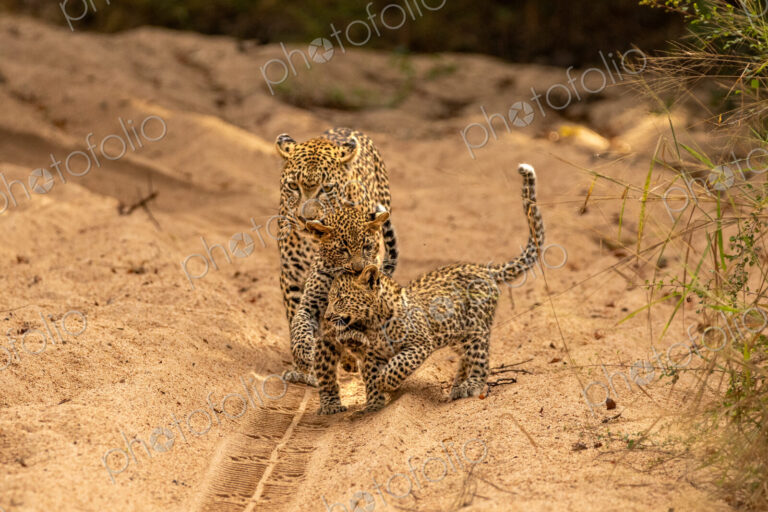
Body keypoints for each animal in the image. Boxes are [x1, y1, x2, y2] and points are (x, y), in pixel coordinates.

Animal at [275, 127, 399, 385]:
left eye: (326, 189)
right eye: (293, 186)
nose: (306, 219)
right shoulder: (292, 278)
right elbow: (297, 323)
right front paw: (304, 369)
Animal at [315, 164, 544, 415]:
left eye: (342, 299)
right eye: (329, 299)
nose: (327, 316)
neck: (373, 322)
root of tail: (484, 269)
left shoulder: (420, 344)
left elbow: (397, 365)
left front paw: (385, 382)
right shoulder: (372, 355)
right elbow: (370, 376)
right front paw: (374, 405)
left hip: (476, 328)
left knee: (480, 359)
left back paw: (471, 385)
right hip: (458, 334)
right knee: (466, 357)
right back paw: (457, 386)